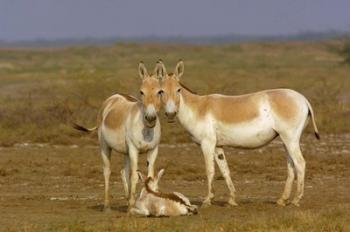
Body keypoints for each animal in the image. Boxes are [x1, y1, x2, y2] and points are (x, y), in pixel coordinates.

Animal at [74, 61, 164, 210]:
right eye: (141, 92)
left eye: (160, 92)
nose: (150, 118)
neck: (146, 130)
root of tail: (113, 97)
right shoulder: (134, 149)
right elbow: (134, 176)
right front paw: (132, 207)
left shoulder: (153, 150)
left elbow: (150, 177)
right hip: (105, 146)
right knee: (107, 171)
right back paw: (107, 207)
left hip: (126, 151)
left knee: (123, 171)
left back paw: (127, 200)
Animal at [159, 59, 320, 207]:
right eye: (161, 91)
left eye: (178, 90)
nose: (170, 114)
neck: (198, 108)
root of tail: (303, 99)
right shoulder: (218, 146)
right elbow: (225, 171)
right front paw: (231, 199)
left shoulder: (207, 144)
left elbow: (210, 170)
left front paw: (207, 200)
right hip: (286, 140)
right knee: (291, 166)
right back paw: (282, 200)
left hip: (290, 138)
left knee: (300, 163)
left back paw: (296, 200)